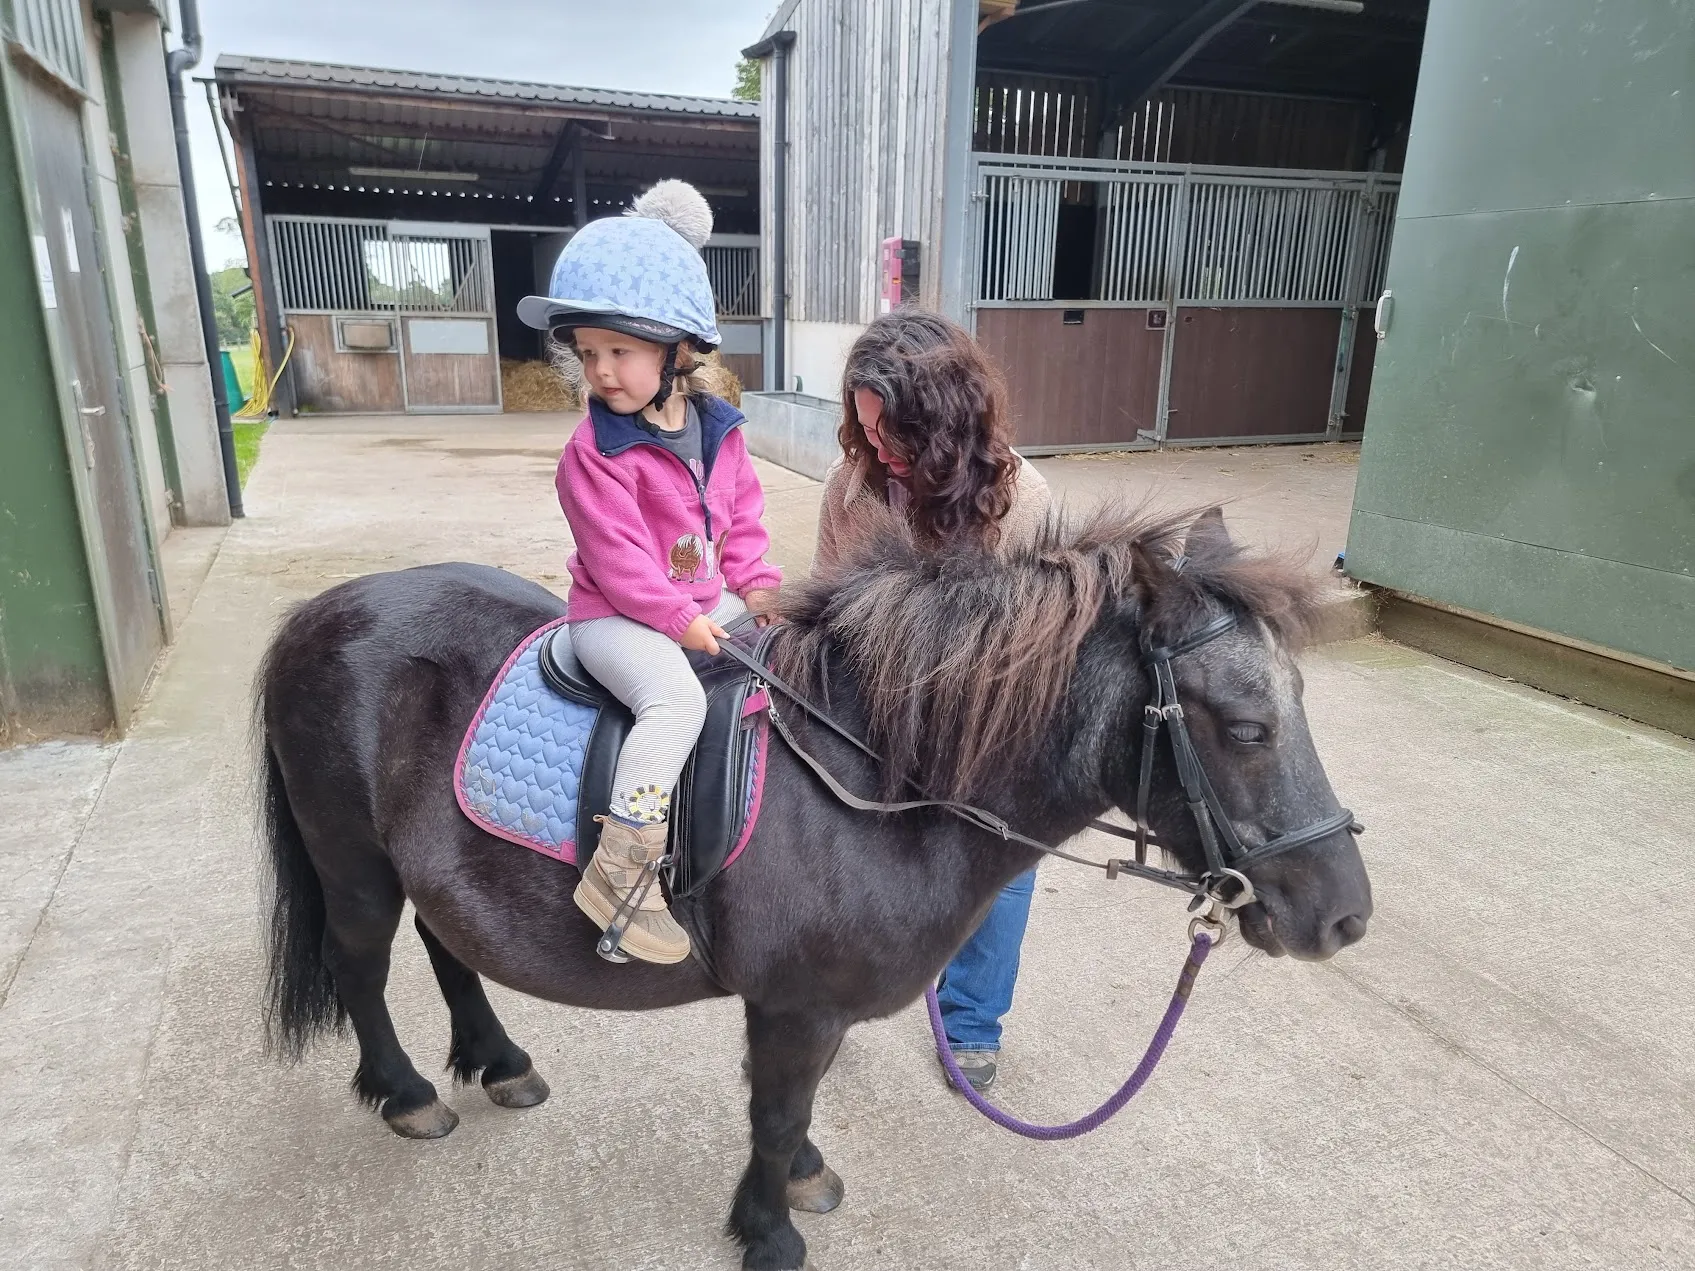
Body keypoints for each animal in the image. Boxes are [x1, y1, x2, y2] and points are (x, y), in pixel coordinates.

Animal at [255, 504, 1372, 1271]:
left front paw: (795, 1185)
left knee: (448, 944)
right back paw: (407, 1094)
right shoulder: (792, 1005)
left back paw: (497, 1060)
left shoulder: (813, 1007)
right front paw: (767, 1230)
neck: (877, 782)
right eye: (1248, 727)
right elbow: (777, 1109)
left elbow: (797, 1109)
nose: (1345, 916)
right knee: (359, 967)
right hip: (352, 865)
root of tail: (319, 609)